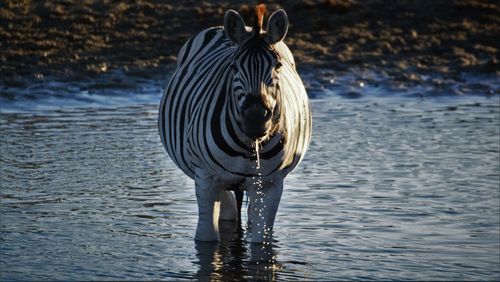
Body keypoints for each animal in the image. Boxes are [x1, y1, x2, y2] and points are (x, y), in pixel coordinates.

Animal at [158, 4, 310, 242]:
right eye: (234, 67)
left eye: (278, 66)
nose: (256, 118)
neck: (248, 146)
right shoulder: (206, 178)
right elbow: (206, 239)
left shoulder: (270, 184)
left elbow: (261, 243)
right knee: (229, 209)